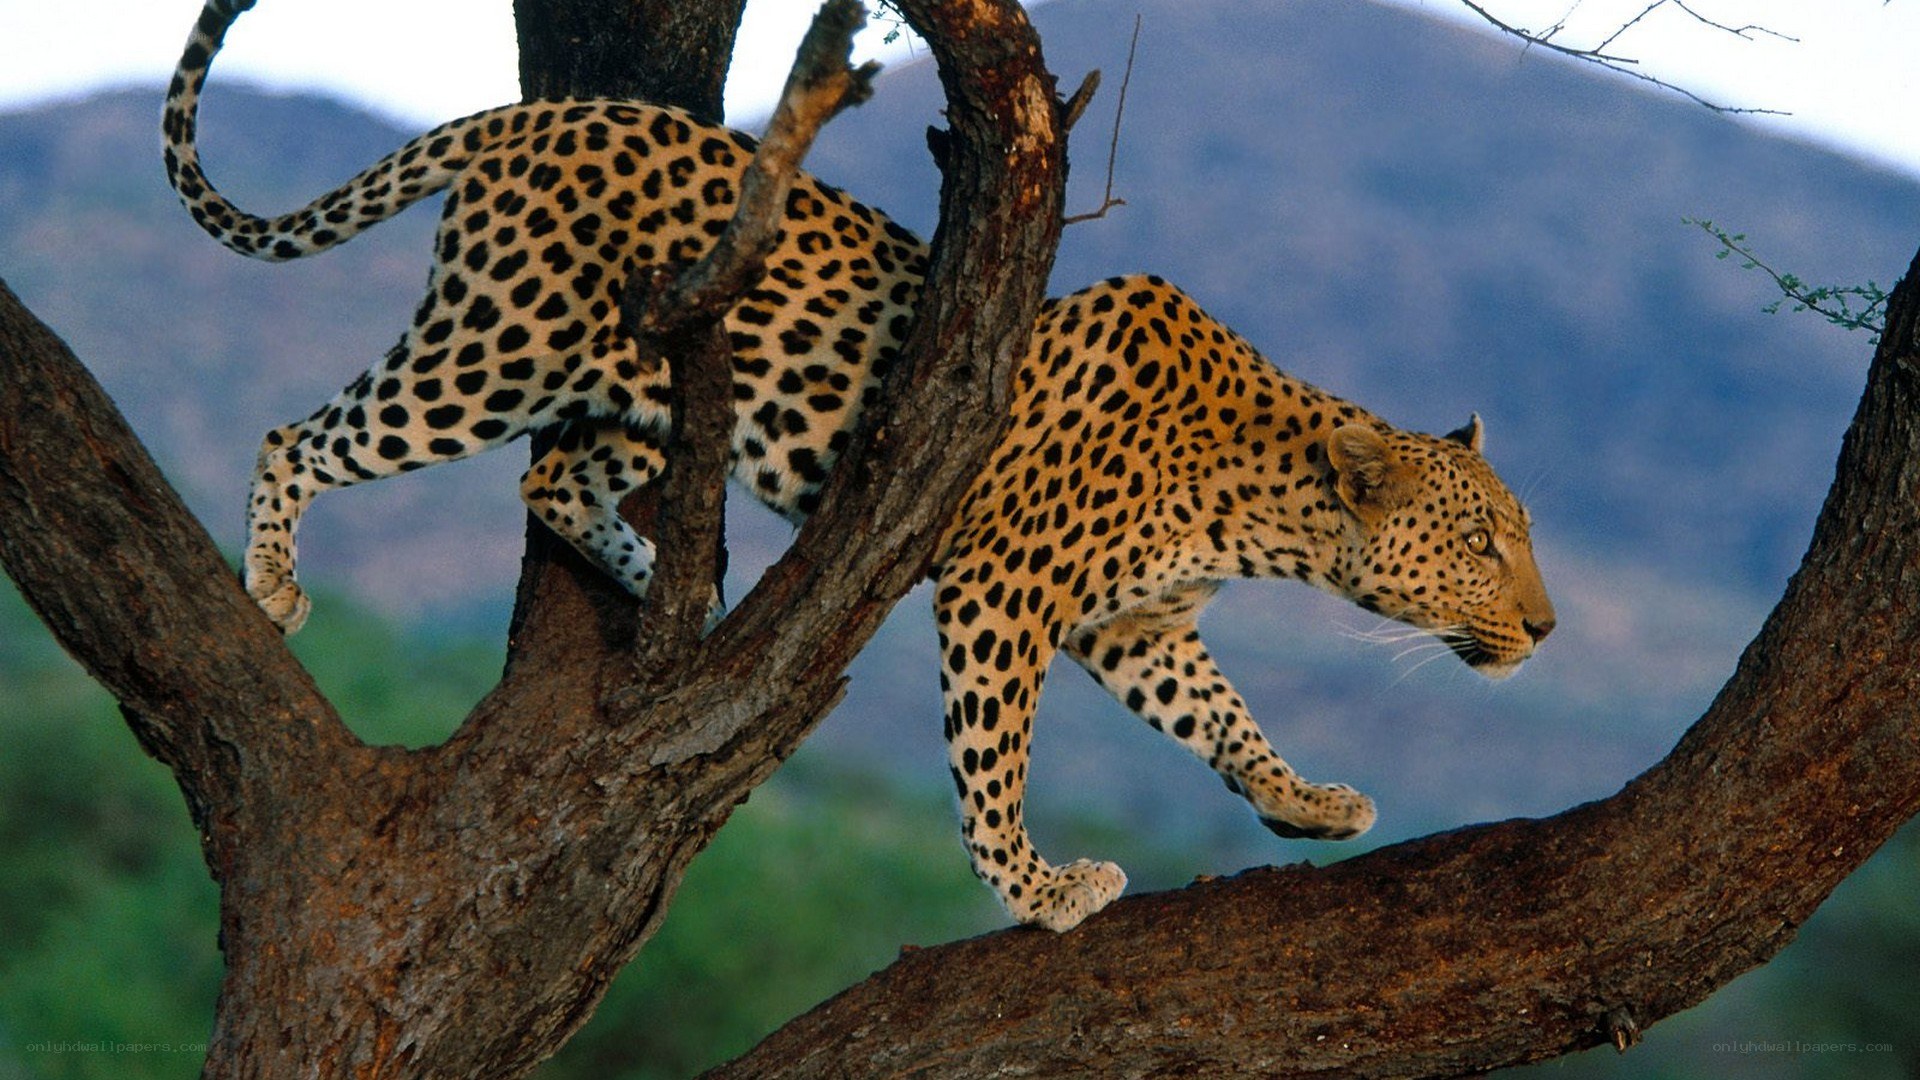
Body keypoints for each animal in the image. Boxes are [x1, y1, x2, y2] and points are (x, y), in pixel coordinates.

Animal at [163, 0, 1554, 932]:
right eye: (1485, 542)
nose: (1545, 629)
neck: (1263, 511)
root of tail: (543, 109)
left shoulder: (1139, 625)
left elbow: (1224, 713)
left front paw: (1303, 801)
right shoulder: (1004, 590)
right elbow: (994, 756)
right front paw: (1039, 887)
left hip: (634, 378)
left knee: (552, 482)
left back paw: (679, 588)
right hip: (494, 351)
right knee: (306, 437)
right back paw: (277, 582)